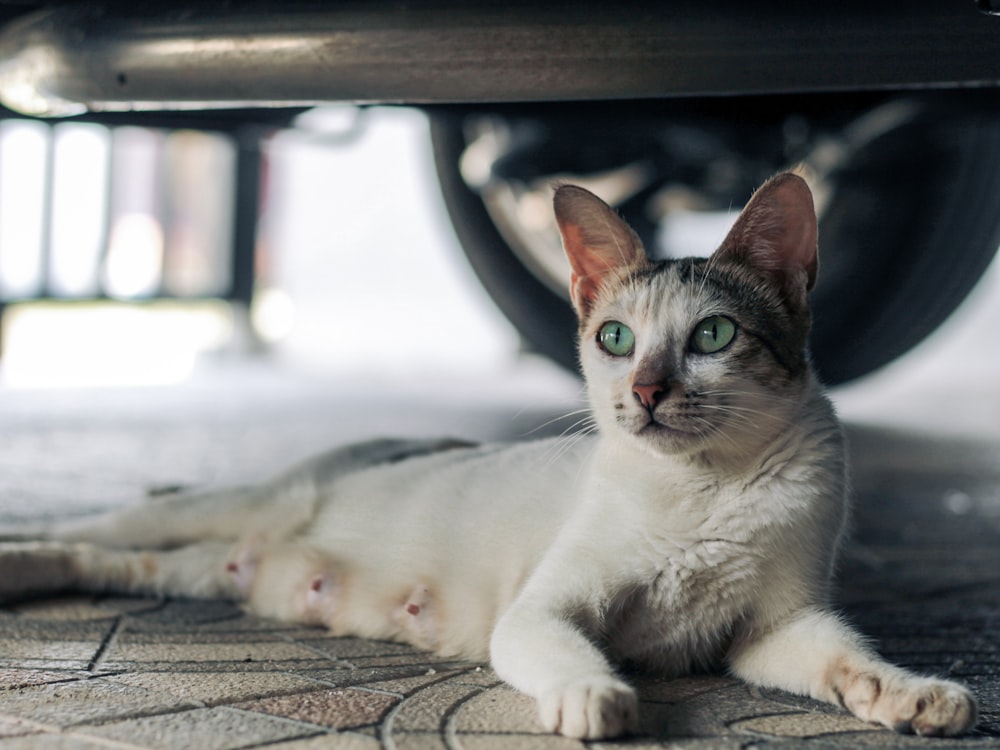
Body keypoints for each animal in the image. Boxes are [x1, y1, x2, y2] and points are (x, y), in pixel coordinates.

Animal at [0, 175, 972, 740]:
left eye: (712, 336)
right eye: (615, 339)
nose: (645, 392)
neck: (707, 488)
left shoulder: (774, 627)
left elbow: (843, 656)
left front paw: (910, 694)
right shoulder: (544, 609)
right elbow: (568, 652)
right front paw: (595, 697)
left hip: (203, 568)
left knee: (100, 558)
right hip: (222, 507)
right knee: (100, 524)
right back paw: (19, 555)